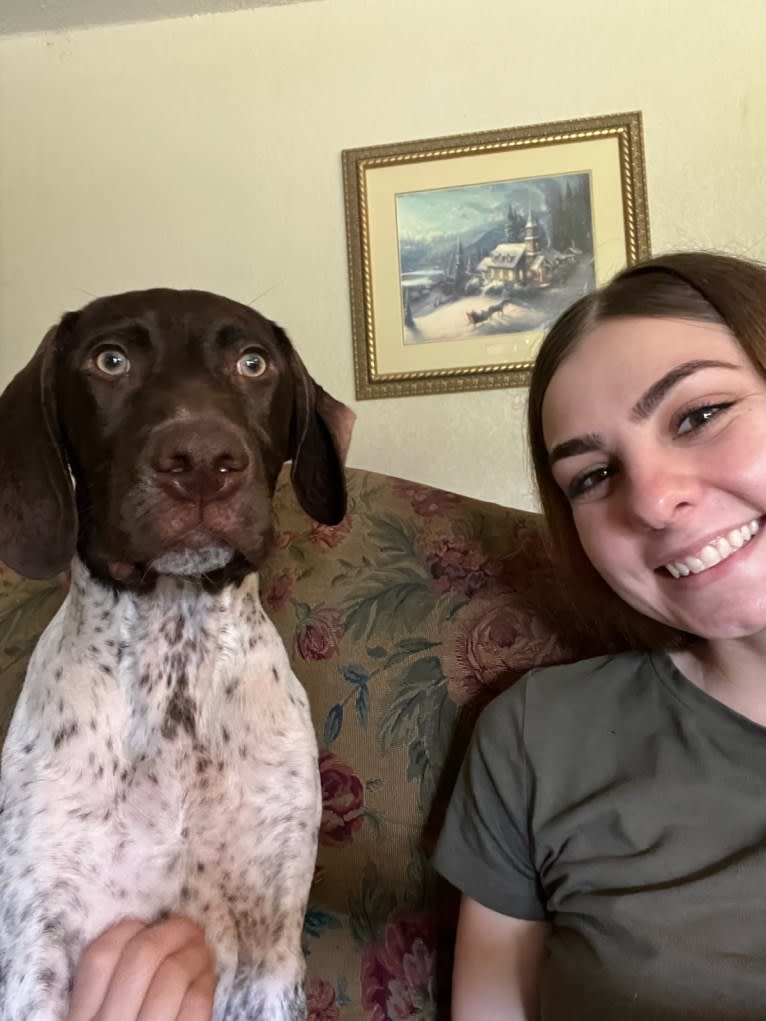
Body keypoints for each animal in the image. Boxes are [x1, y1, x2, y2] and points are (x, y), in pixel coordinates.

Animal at [0, 289, 355, 1021]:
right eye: (110, 360)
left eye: (253, 362)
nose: (201, 459)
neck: (175, 656)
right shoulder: (35, 951)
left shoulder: (270, 952)